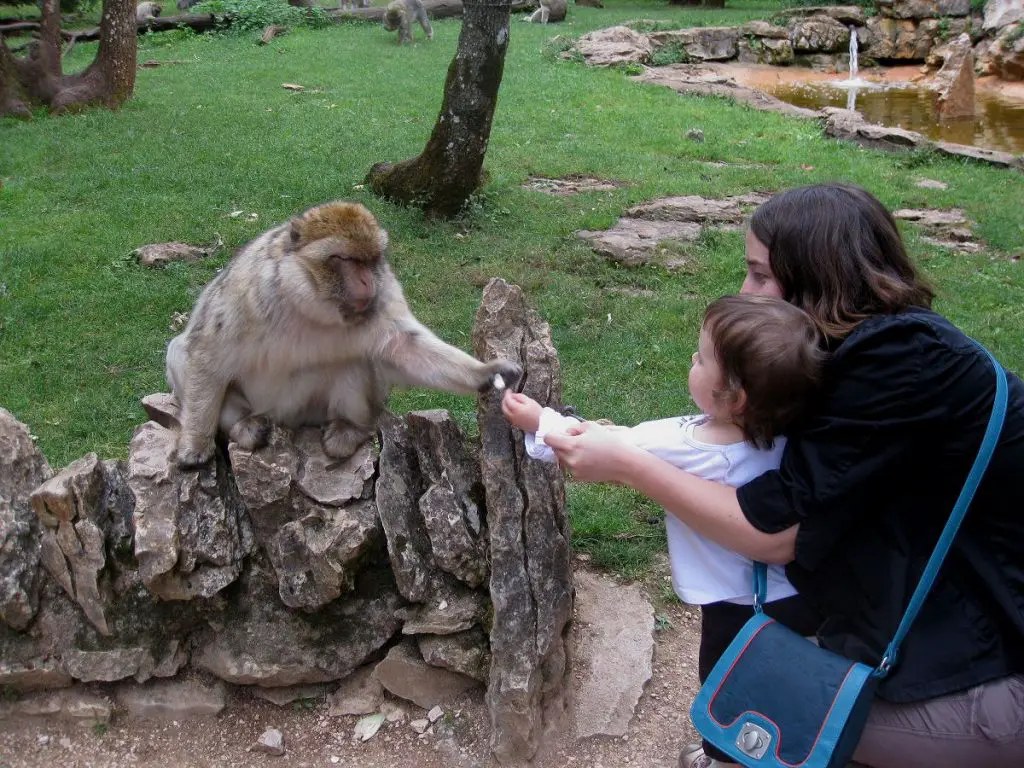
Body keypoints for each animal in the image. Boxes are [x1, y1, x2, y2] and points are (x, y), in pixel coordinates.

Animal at [166, 201, 524, 466]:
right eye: (345, 259)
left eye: (370, 261)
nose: (366, 281)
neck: (308, 304)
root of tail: (284, 419)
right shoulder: (246, 293)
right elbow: (207, 353)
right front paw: (195, 444)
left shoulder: (384, 294)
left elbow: (404, 347)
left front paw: (486, 372)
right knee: (179, 350)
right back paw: (242, 424)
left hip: (310, 412)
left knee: (355, 361)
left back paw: (349, 430)